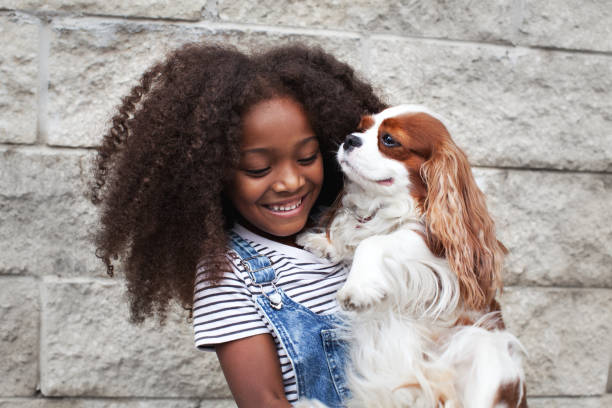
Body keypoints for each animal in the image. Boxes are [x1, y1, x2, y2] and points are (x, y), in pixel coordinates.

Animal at [296, 105, 524, 408]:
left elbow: (374, 242)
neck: (387, 205)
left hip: (485, 352)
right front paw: (324, 242)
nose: (349, 139)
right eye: (361, 127)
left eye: (389, 140)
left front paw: (358, 288)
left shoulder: (440, 249)